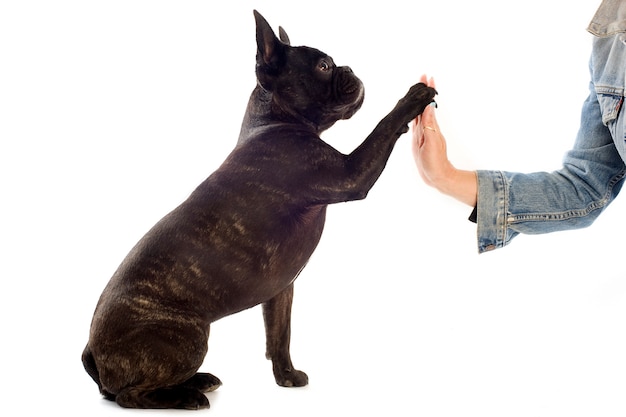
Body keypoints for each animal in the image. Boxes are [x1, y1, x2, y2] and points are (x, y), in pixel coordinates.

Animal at [81, 9, 434, 410]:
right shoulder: (350, 173)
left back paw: (199, 380)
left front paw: (286, 377)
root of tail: (93, 352)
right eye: (324, 66)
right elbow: (382, 128)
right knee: (130, 395)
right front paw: (412, 99)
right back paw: (185, 396)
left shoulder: (281, 291)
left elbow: (279, 335)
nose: (349, 67)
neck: (274, 120)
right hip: (188, 337)